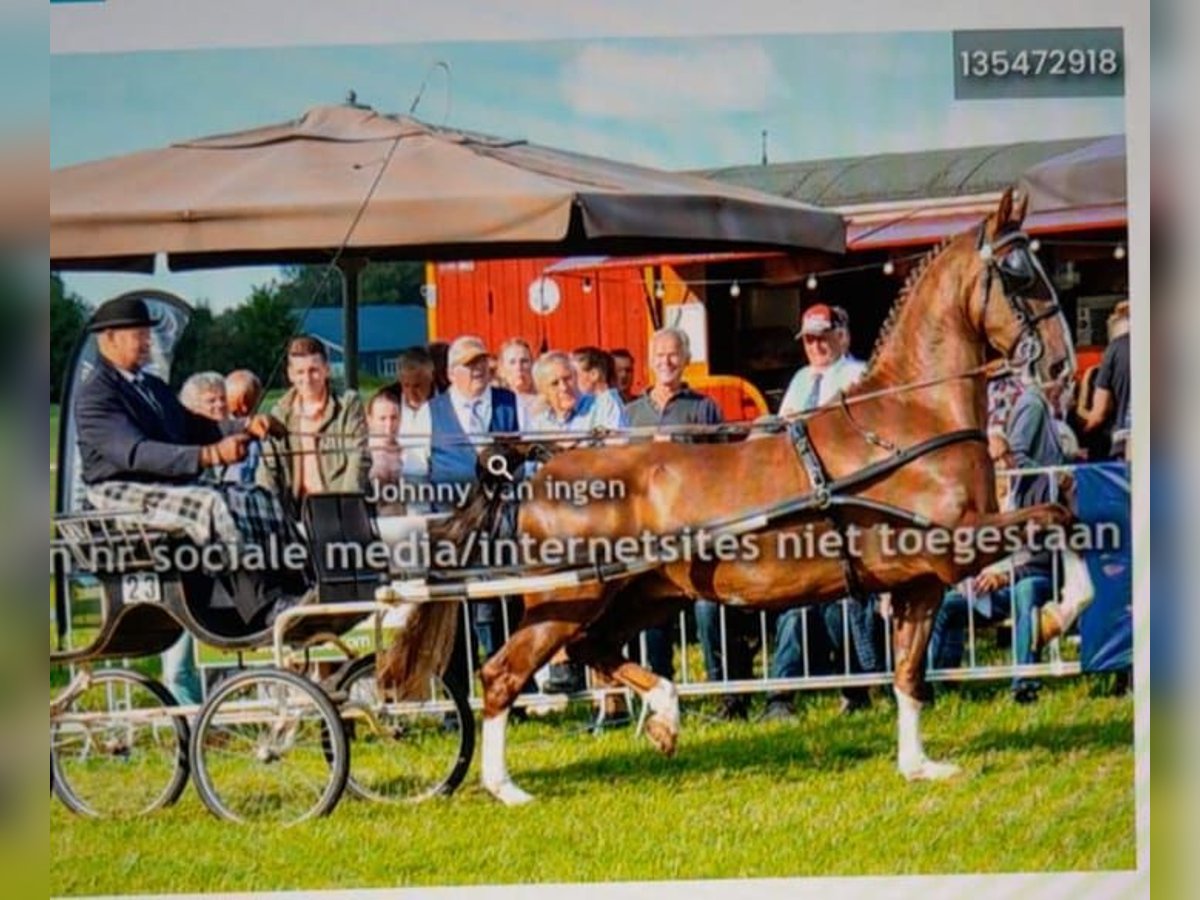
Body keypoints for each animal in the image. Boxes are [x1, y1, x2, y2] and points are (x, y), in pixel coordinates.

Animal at [381, 187, 1089, 806]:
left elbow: (909, 673)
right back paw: (507, 787)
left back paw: (664, 714)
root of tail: (539, 468)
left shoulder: (919, 580)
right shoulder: (956, 545)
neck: (907, 420)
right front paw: (1058, 615)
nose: (1059, 365)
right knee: (503, 673)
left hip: (643, 593)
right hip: (568, 597)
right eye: (1020, 272)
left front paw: (919, 765)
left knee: (591, 650)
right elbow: (1060, 517)